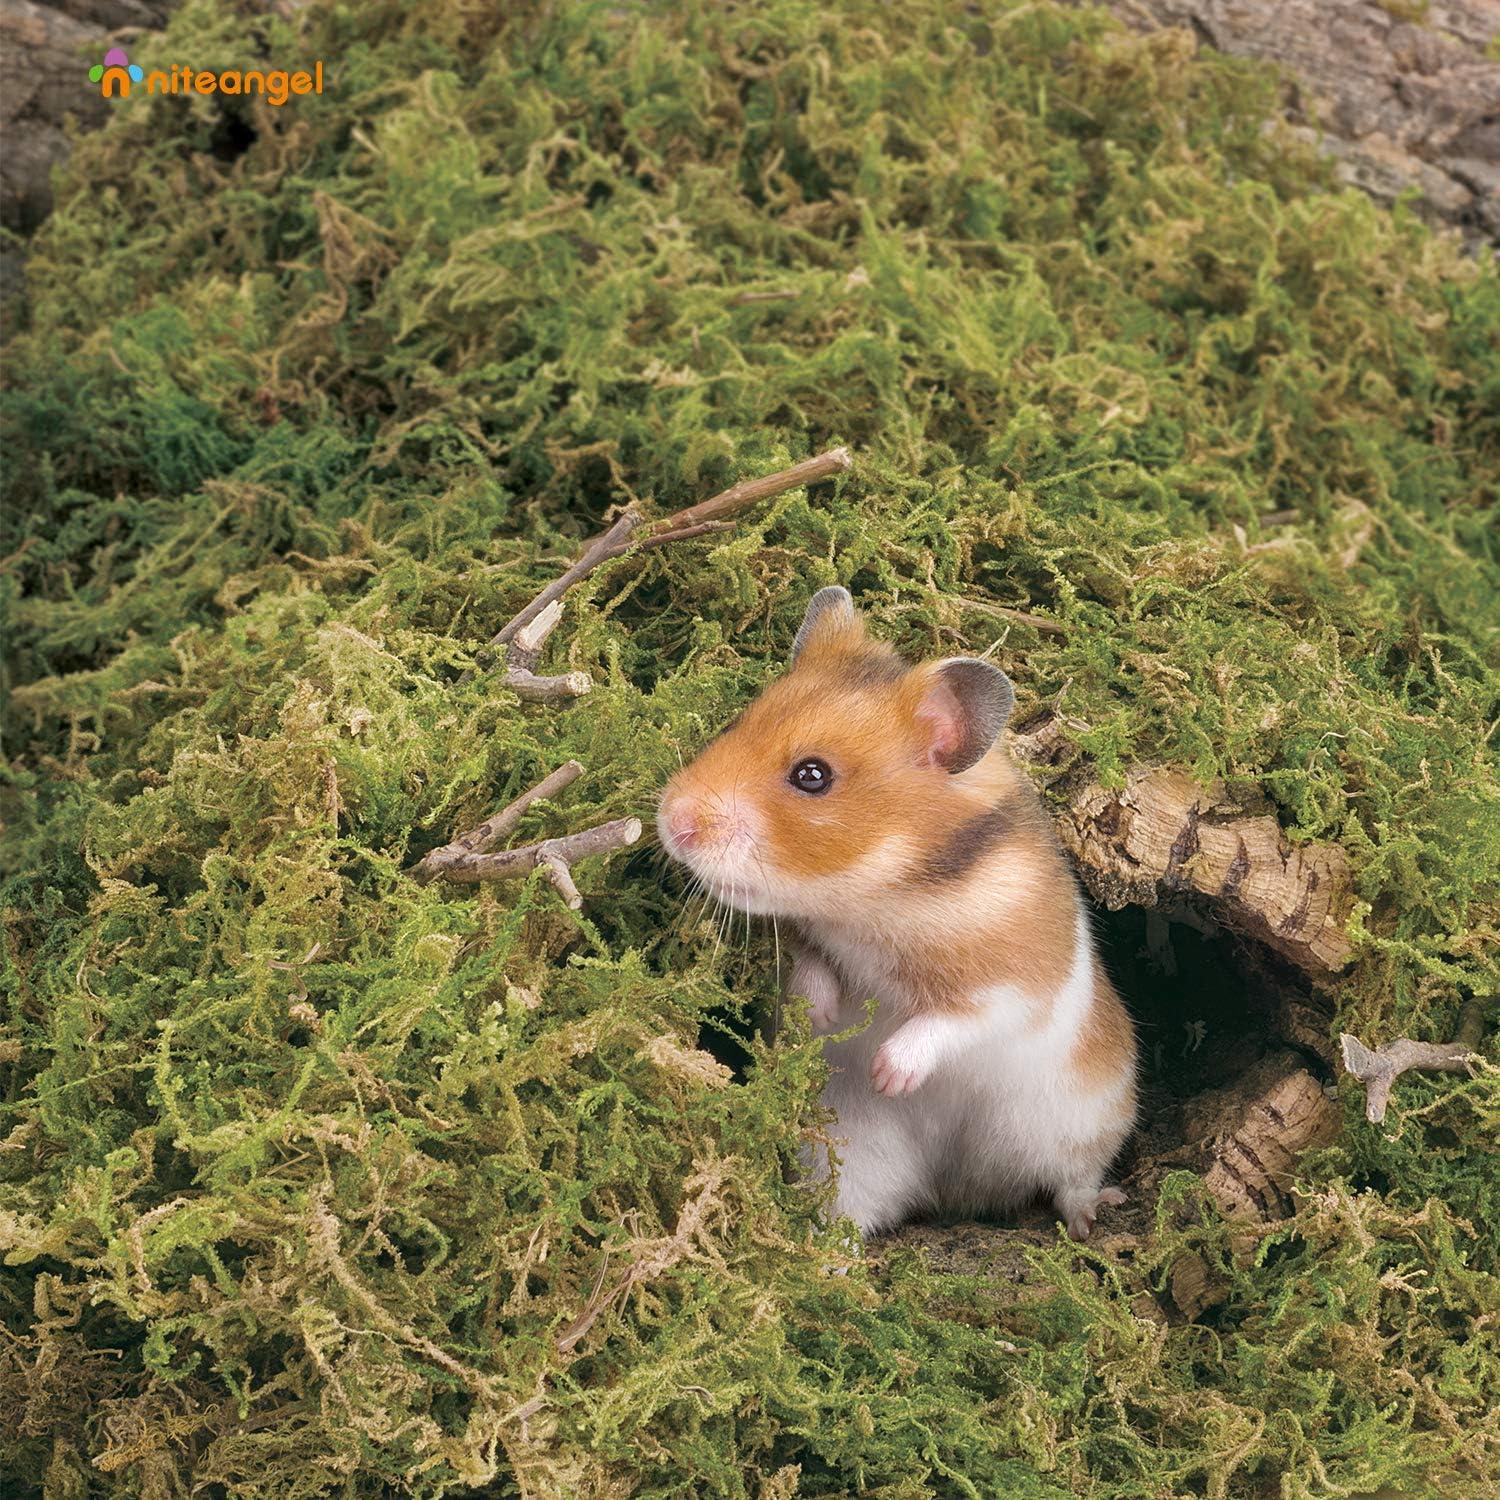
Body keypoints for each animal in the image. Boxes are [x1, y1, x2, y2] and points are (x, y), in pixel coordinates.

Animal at [657, 586, 1137, 1241]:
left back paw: (1092, 1217)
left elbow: (955, 1021)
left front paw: (890, 1075)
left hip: (1081, 1119)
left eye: (812, 775)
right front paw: (820, 1016)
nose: (669, 821)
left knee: (1071, 1180)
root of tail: (955, 1192)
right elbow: (808, 965)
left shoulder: (1018, 985)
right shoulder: (814, 936)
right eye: (737, 723)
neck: (881, 898)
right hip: (851, 1153)